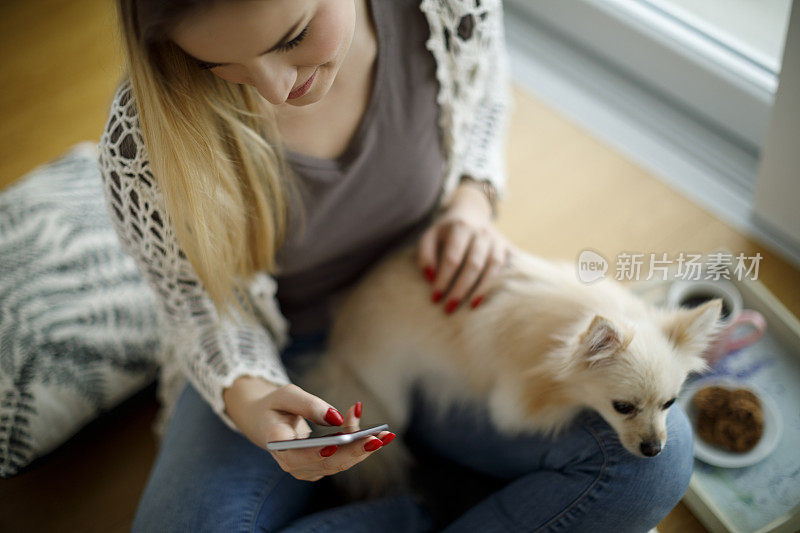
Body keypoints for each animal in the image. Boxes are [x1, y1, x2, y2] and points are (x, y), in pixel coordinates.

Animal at [296, 242, 720, 498]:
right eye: (622, 408)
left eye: (669, 404)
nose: (654, 449)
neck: (570, 326)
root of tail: (334, 348)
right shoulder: (513, 404)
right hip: (392, 391)